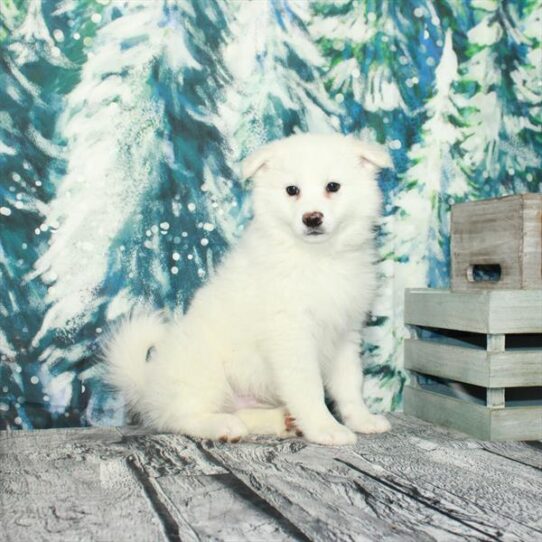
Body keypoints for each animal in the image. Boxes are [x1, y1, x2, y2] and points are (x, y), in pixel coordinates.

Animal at [106, 133, 394, 446]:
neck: (317, 257)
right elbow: (309, 387)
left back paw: (280, 421)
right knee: (180, 416)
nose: (312, 218)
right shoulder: (290, 336)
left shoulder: (345, 333)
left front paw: (362, 419)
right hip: (201, 367)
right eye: (292, 190)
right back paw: (222, 425)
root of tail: (148, 384)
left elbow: (350, 384)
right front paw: (324, 427)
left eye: (333, 187)